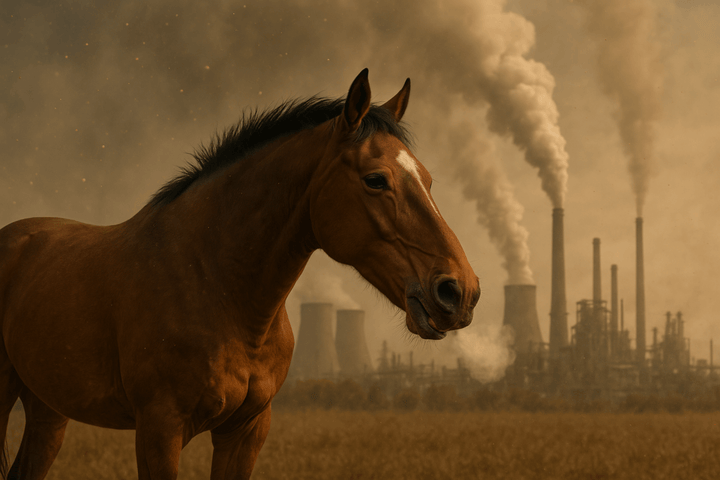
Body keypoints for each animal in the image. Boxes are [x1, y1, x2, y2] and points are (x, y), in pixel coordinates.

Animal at [0, 69, 480, 479]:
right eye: (376, 179)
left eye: (428, 179)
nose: (459, 292)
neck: (213, 284)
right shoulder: (159, 430)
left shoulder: (246, 430)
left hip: (47, 408)